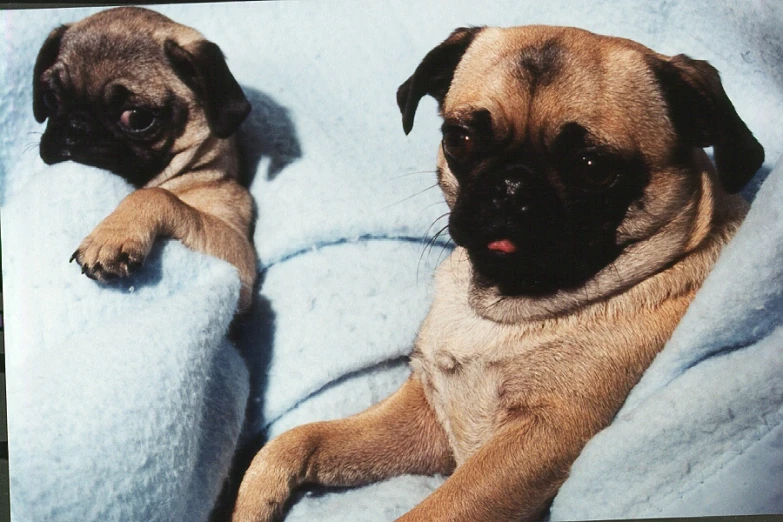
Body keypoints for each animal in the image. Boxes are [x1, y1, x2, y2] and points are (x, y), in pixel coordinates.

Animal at [33, 6, 256, 310]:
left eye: (137, 118)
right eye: (51, 99)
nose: (75, 126)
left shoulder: (238, 260)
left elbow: (158, 195)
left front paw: (115, 232)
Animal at [228, 25, 764, 520]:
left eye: (593, 167)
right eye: (459, 139)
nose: (512, 184)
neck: (503, 306)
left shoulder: (538, 440)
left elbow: (433, 510)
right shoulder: (429, 417)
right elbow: (300, 440)